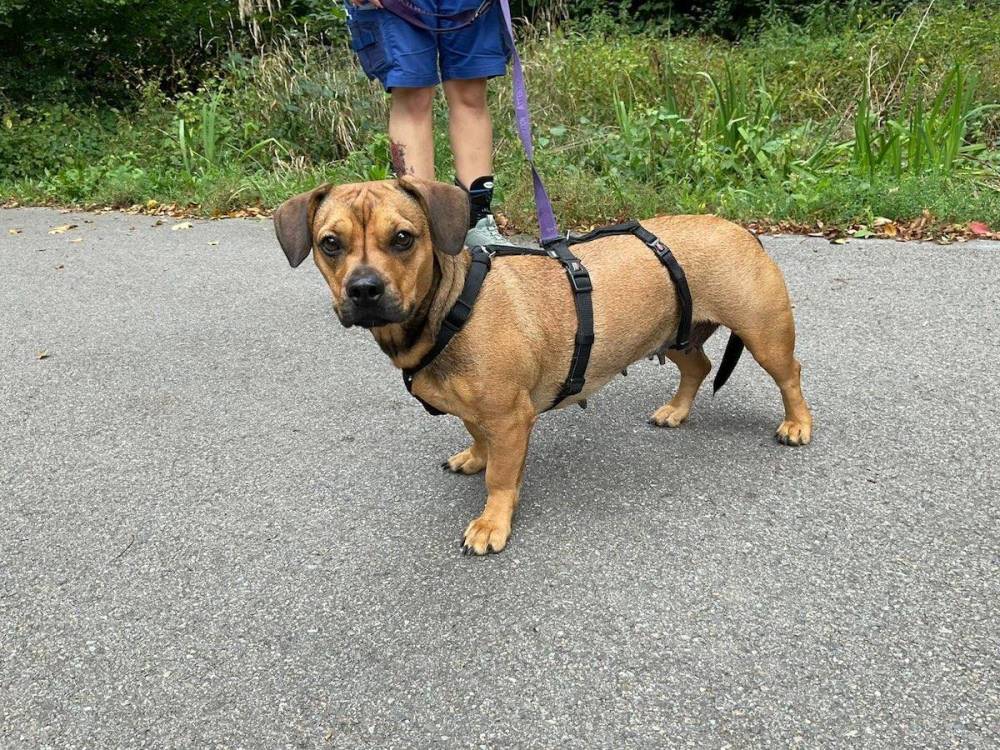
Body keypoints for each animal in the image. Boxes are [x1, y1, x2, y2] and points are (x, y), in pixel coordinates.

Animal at [273, 176, 812, 554]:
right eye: (329, 243)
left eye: (403, 238)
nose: (364, 290)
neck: (448, 308)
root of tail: (741, 229)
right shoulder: (484, 413)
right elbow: (477, 434)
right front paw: (475, 456)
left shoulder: (512, 418)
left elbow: (501, 477)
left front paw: (492, 522)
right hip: (673, 329)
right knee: (697, 366)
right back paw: (676, 411)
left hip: (764, 335)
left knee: (790, 375)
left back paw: (797, 424)